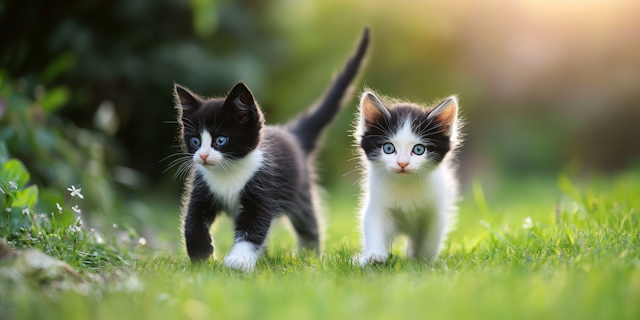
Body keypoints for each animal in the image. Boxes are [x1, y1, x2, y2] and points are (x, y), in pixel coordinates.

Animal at [172, 28, 370, 272]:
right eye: (195, 141)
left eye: (221, 140)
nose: (203, 156)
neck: (228, 171)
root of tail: (292, 134)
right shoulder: (201, 188)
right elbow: (192, 220)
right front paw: (201, 255)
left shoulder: (264, 188)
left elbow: (254, 226)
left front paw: (239, 261)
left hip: (299, 190)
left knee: (308, 224)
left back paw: (310, 257)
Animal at [356, 89, 460, 264]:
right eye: (389, 148)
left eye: (418, 149)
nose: (402, 163)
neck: (405, 183)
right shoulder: (378, 203)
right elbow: (374, 223)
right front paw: (375, 255)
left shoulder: (435, 210)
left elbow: (431, 237)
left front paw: (424, 261)